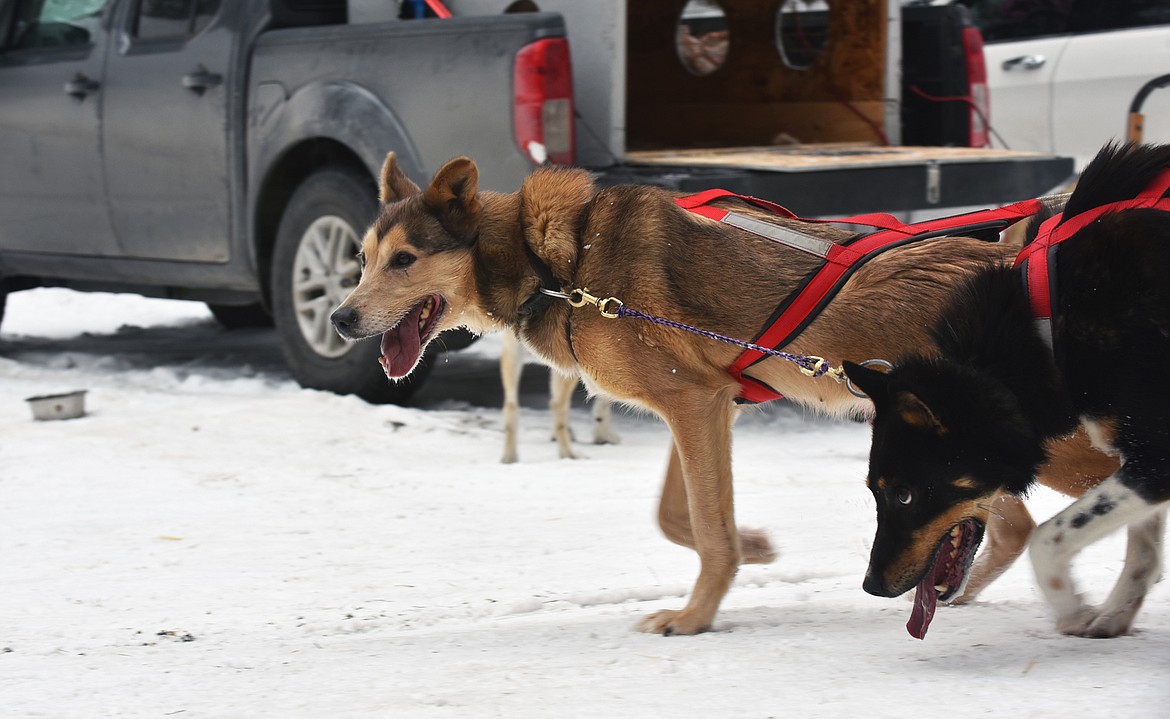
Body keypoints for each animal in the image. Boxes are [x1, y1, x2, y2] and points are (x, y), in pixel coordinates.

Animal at [329, 151, 1113, 635]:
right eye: (361, 261)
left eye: (405, 260)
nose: (339, 318)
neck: (556, 260)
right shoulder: (702, 408)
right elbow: (677, 517)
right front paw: (755, 545)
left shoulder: (694, 409)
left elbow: (704, 531)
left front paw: (694, 616)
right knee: (1007, 526)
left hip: (1043, 444)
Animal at [847, 142, 1170, 640]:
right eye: (874, 490)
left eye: (903, 494)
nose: (872, 585)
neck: (1045, 322)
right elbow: (1143, 549)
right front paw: (1116, 614)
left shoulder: (1155, 452)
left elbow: (1047, 537)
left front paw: (1071, 608)